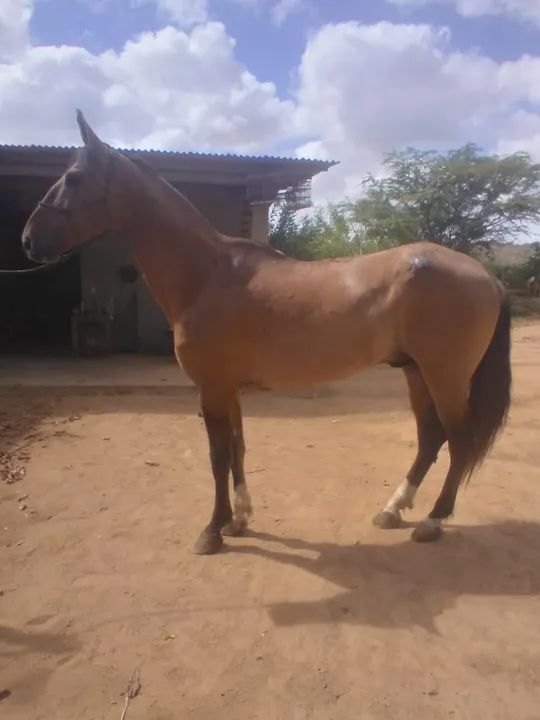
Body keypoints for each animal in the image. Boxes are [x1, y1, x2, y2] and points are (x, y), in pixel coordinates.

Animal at [21, 110, 512, 555]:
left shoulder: (213, 389)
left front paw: (212, 531)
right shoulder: (229, 390)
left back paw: (432, 521)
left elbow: (218, 456)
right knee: (431, 438)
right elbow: (239, 449)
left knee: (458, 439)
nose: (28, 240)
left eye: (74, 177)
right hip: (414, 372)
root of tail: (485, 275)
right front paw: (239, 519)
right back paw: (392, 510)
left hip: (445, 376)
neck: (207, 275)